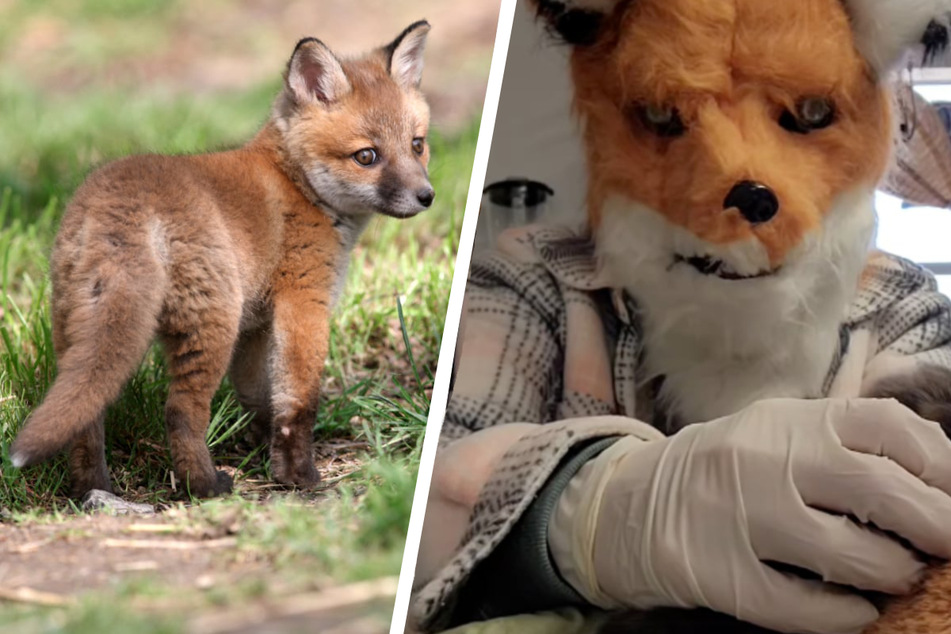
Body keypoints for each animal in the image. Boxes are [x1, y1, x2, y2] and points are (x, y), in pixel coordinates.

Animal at [9, 21, 436, 499]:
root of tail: (119, 203)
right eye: (366, 156)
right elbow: (297, 401)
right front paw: (297, 474)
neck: (297, 182)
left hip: (78, 327)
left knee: (87, 412)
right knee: (181, 411)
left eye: (417, 145)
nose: (427, 196)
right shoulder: (303, 302)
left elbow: (258, 398)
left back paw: (93, 489)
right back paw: (204, 484)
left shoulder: (256, 327)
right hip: (212, 324)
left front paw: (265, 452)